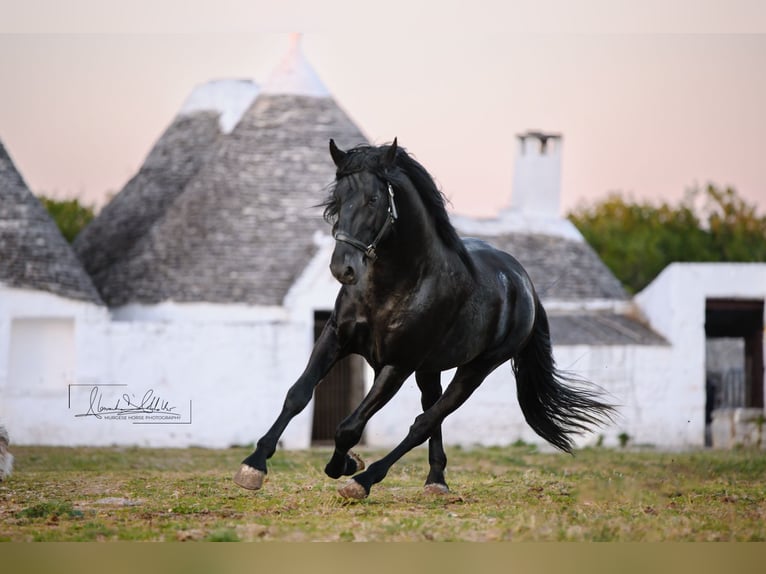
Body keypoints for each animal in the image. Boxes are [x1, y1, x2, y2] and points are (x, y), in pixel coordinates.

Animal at [234, 139, 615, 499]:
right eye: (336, 198)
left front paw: (345, 466)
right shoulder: (335, 337)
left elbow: (349, 427)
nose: (343, 268)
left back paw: (365, 481)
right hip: (429, 370)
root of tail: (525, 285)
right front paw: (254, 466)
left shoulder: (398, 364)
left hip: (474, 370)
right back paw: (435, 481)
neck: (394, 285)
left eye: (374, 199)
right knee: (430, 415)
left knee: (425, 421)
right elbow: (298, 394)